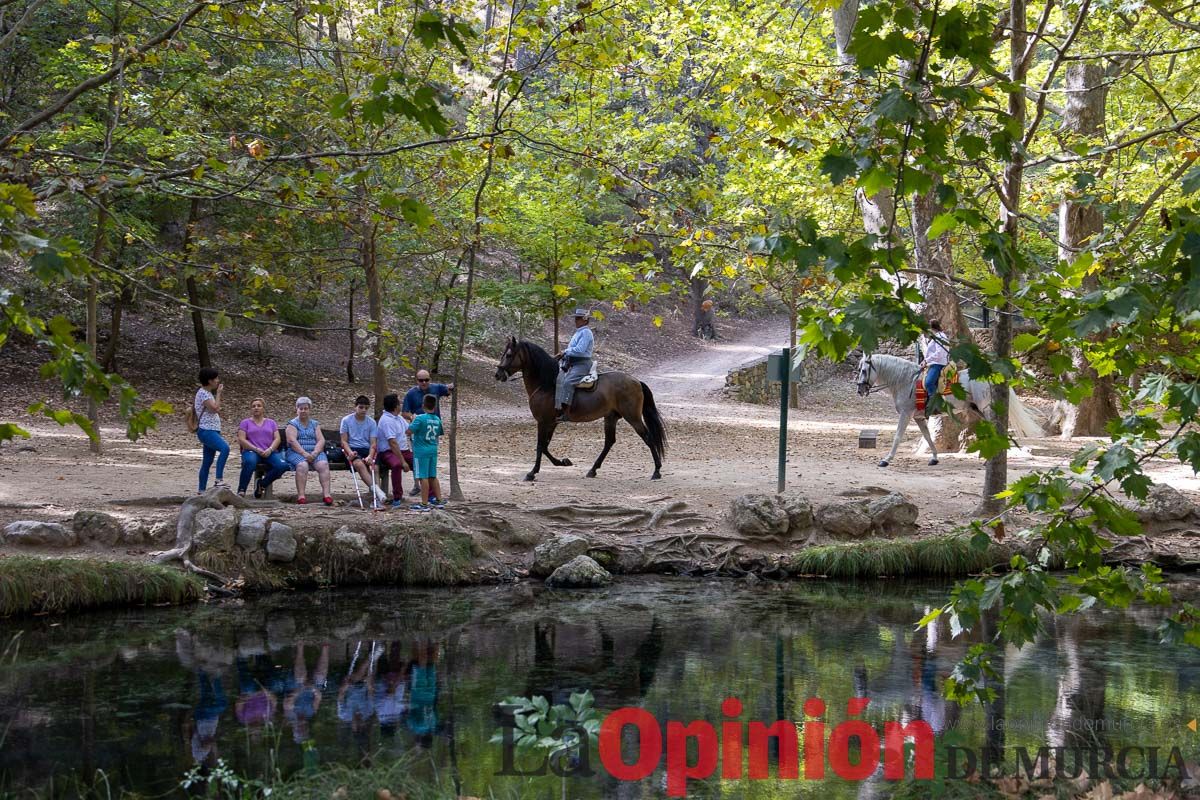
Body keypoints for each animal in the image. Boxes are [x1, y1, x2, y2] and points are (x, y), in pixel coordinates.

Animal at [494, 335, 667, 482]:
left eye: (508, 355)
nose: (498, 374)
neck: (546, 384)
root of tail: (636, 381)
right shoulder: (552, 422)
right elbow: (545, 446)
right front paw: (563, 462)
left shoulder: (543, 422)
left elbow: (540, 446)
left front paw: (532, 473)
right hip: (611, 417)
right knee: (609, 442)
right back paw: (592, 470)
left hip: (633, 417)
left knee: (648, 437)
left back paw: (657, 471)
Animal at [854, 352, 1041, 470]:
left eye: (863, 370)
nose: (860, 390)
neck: (905, 381)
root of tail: (993, 376)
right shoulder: (918, 418)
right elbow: (928, 437)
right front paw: (934, 458)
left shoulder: (906, 414)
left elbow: (898, 437)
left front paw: (886, 460)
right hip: (979, 411)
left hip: (986, 409)